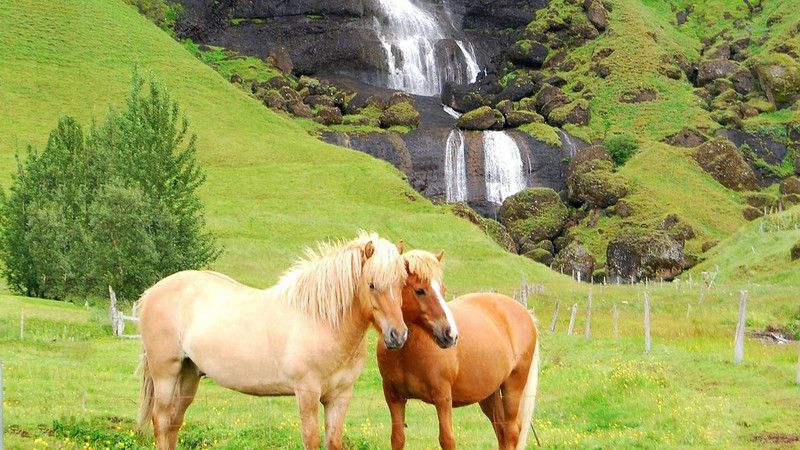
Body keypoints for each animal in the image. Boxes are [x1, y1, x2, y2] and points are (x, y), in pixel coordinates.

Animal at [136, 232, 409, 450]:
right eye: (371, 285)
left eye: (402, 283)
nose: (398, 335)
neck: (320, 320)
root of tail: (152, 292)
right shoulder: (307, 392)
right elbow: (310, 440)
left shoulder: (340, 396)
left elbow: (333, 442)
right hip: (166, 373)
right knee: (161, 421)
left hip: (189, 374)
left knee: (174, 423)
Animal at [377, 249, 541, 450]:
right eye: (420, 290)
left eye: (443, 289)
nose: (450, 334)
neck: (406, 353)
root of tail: (526, 313)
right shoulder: (394, 398)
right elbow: (397, 439)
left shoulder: (442, 399)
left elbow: (447, 440)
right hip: (489, 393)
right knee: (501, 430)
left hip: (513, 387)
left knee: (511, 431)